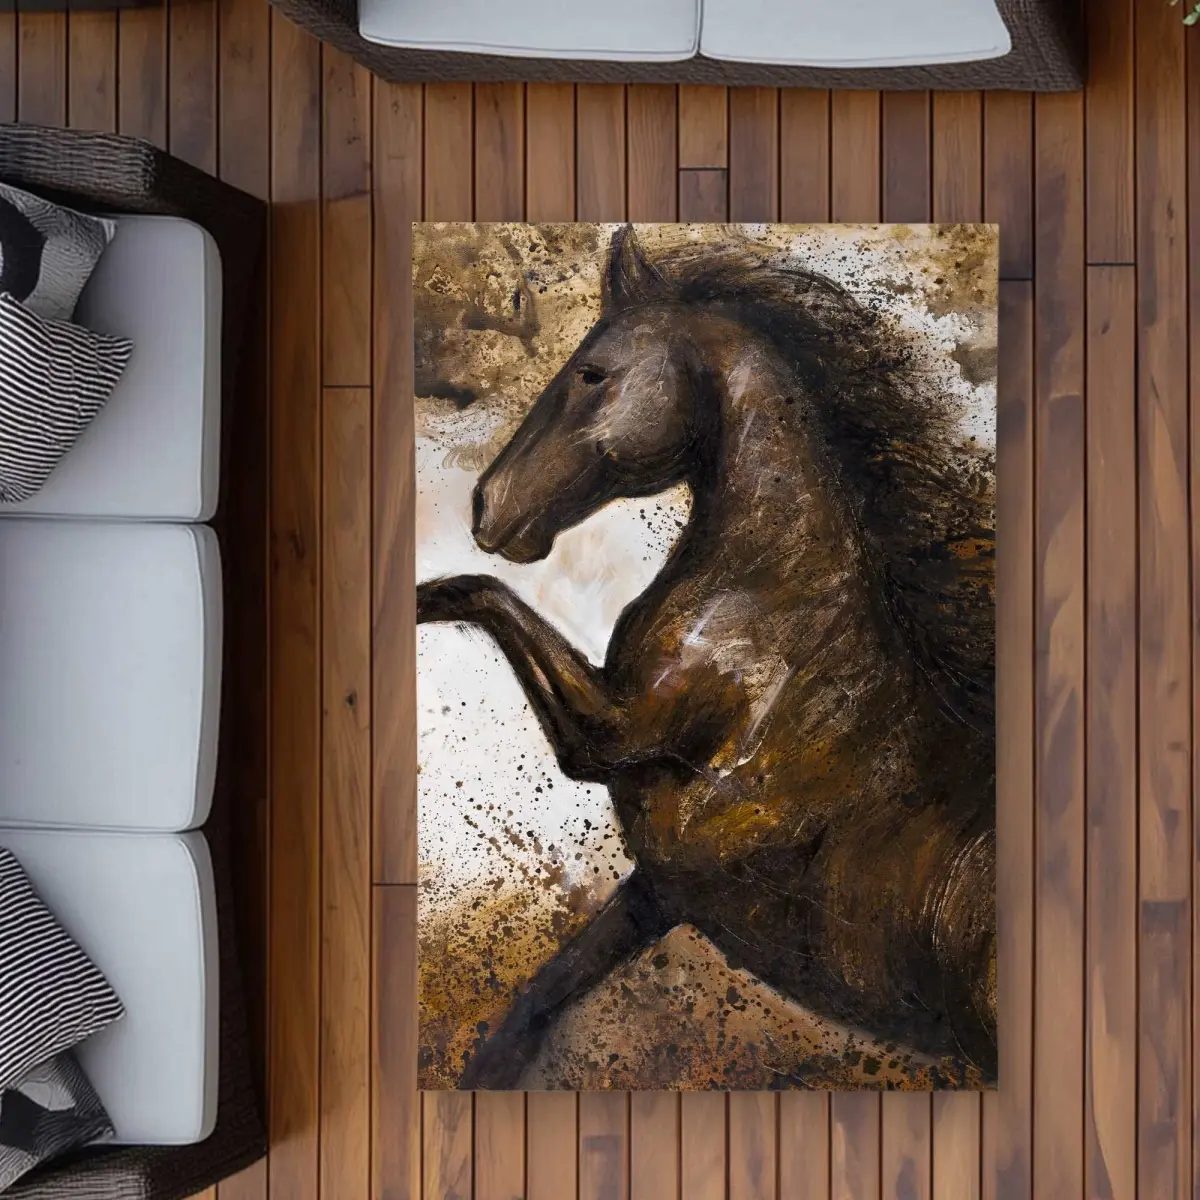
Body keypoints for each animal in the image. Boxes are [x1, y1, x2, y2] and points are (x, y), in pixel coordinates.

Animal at [417, 224, 997, 1088]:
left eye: (592, 371)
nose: (489, 508)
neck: (769, 601)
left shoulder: (614, 735)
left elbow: (479, 592)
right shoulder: (660, 891)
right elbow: (529, 1014)